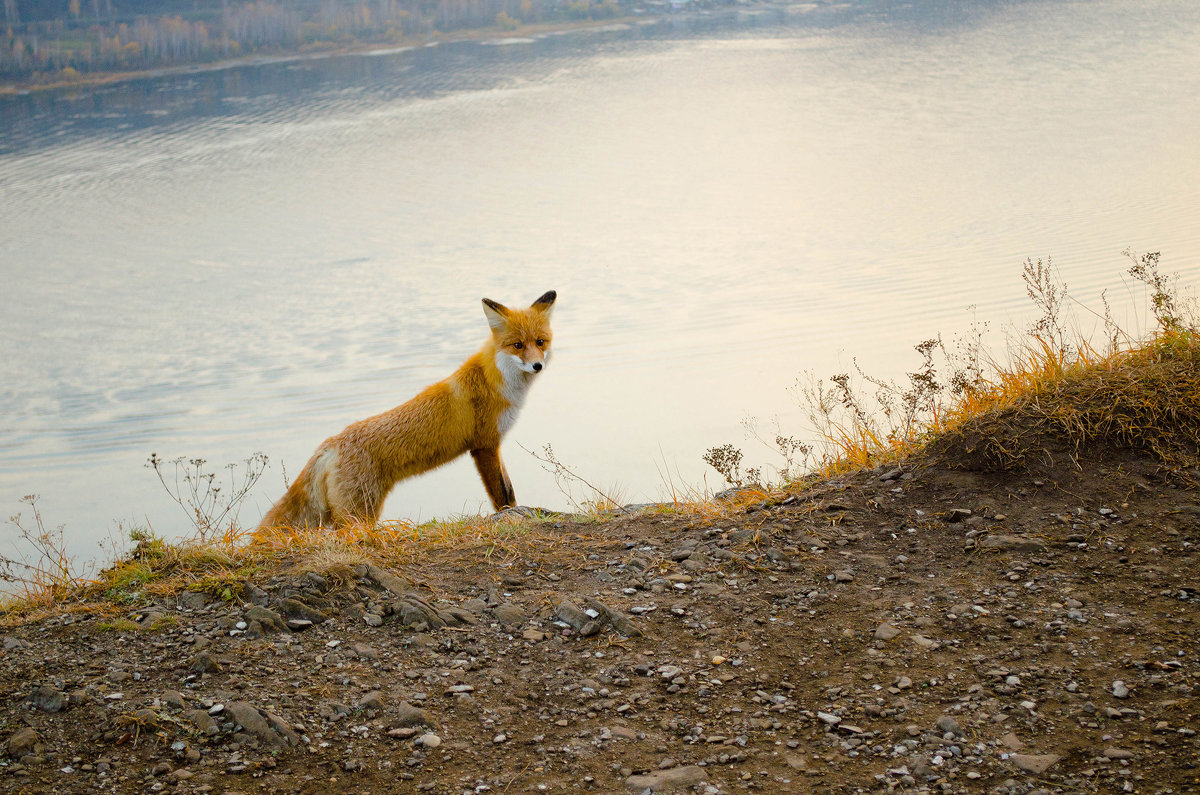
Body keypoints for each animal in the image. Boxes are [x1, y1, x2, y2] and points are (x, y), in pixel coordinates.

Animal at [259, 291, 556, 528]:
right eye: (517, 345)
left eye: (540, 342)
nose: (537, 366)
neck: (497, 380)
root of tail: (331, 443)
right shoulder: (484, 445)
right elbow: (502, 494)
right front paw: (509, 515)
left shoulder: (493, 444)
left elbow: (510, 490)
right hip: (360, 513)